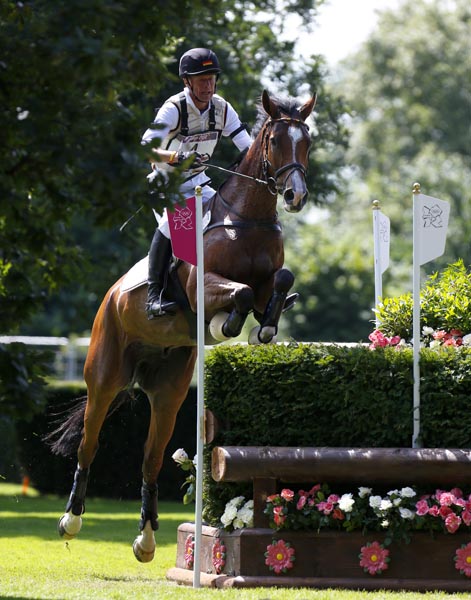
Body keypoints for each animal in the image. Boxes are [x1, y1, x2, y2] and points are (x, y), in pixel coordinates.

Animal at [50, 89, 318, 564]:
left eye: (306, 142)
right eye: (274, 141)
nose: (294, 195)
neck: (245, 218)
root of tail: (111, 295)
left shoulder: (267, 283)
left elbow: (278, 284)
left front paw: (262, 330)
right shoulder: (201, 289)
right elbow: (238, 294)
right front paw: (227, 323)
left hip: (170, 390)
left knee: (151, 458)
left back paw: (146, 539)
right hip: (105, 375)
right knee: (89, 444)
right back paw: (71, 520)